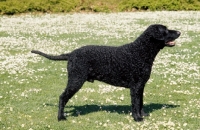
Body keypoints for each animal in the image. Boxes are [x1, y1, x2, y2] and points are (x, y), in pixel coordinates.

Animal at [31, 23, 181, 121]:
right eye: (165, 30)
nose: (179, 32)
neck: (140, 51)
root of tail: (71, 54)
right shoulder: (135, 87)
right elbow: (135, 104)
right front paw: (137, 118)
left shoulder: (141, 86)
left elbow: (141, 103)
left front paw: (143, 115)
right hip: (76, 80)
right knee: (62, 97)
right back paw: (61, 117)